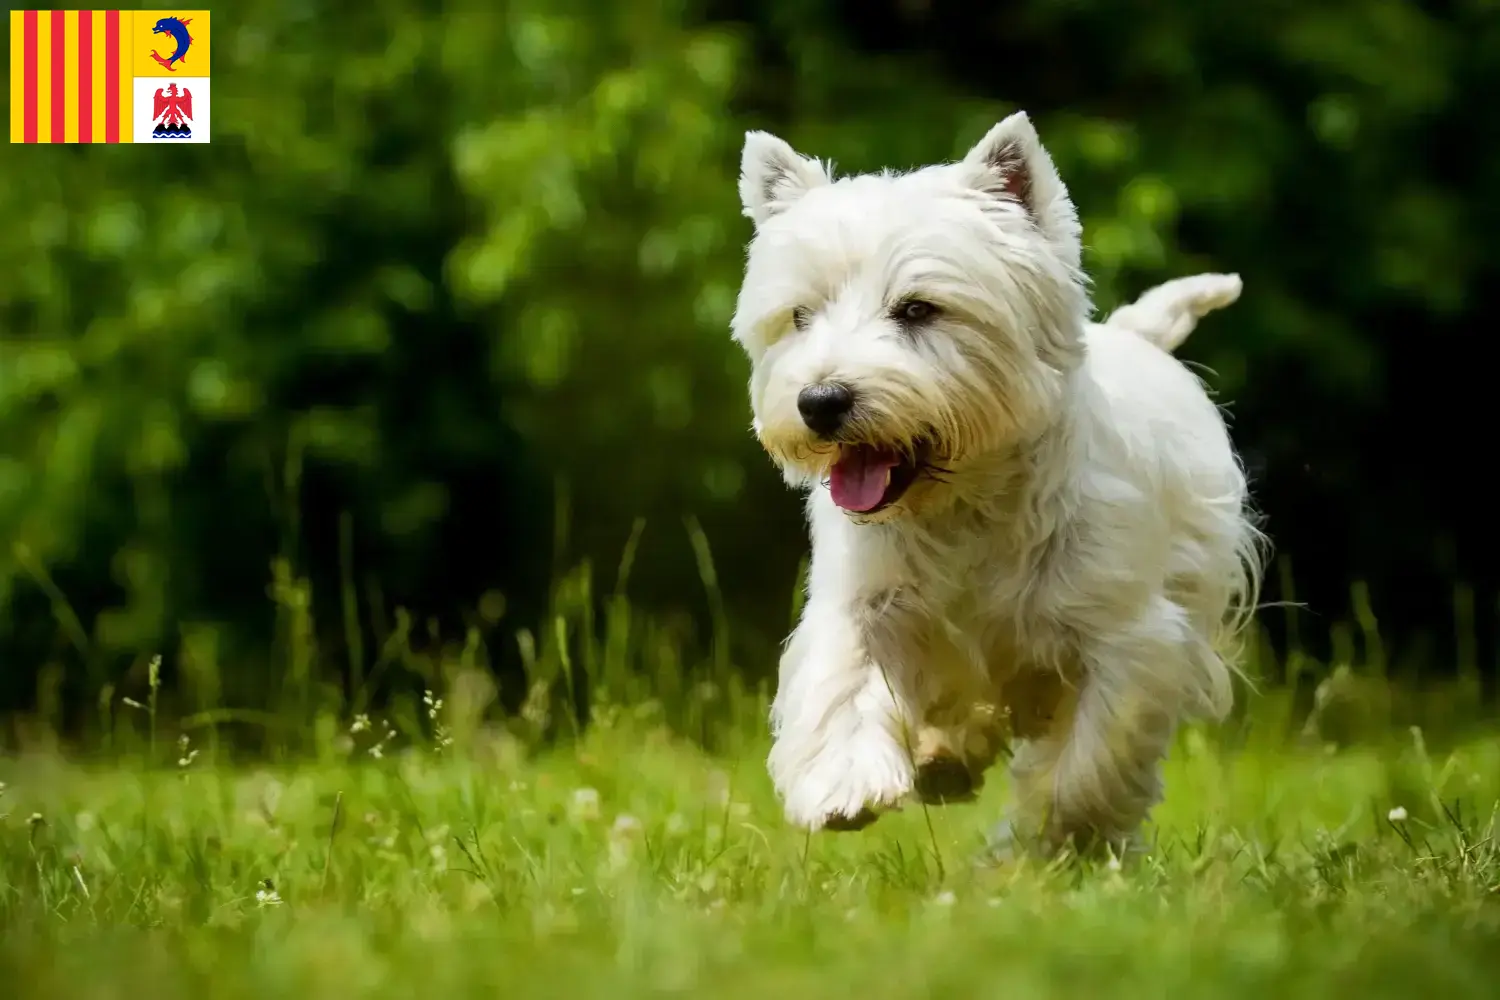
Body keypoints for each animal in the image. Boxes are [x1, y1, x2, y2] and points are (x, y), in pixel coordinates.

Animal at [726, 111, 1266, 863]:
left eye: (918, 309)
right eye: (801, 316)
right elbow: (844, 679)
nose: (821, 401)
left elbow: (1089, 762)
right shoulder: (867, 600)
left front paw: (1045, 845)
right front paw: (845, 786)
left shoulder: (1129, 636)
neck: (965, 504)